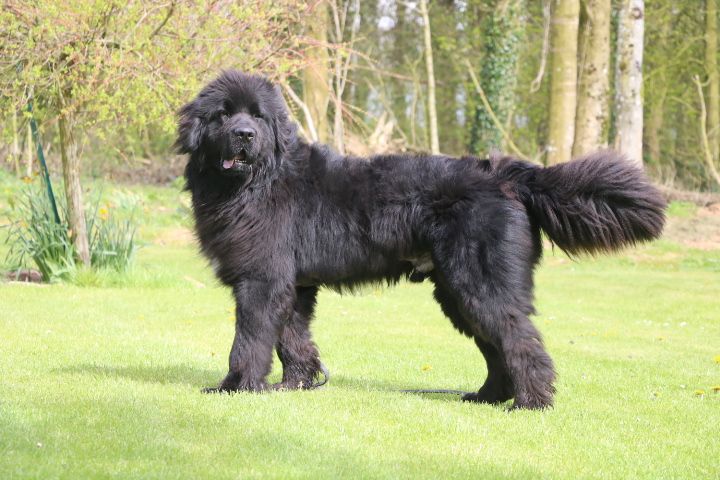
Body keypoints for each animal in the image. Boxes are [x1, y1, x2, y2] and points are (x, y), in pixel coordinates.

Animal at [177, 70, 666, 409]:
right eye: (223, 115)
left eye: (257, 116)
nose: (244, 134)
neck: (258, 181)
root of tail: (505, 175)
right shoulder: (292, 284)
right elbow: (292, 339)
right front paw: (294, 385)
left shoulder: (261, 280)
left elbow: (250, 339)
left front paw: (235, 387)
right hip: (457, 291)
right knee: (496, 348)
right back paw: (486, 397)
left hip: (480, 284)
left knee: (519, 339)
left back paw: (530, 403)